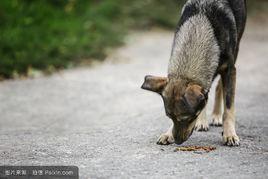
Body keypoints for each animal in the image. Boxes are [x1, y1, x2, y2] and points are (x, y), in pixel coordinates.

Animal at [141, 0, 246, 145]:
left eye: (187, 118)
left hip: (236, 50)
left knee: (219, 87)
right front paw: (168, 133)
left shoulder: (230, 70)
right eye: (169, 116)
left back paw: (216, 115)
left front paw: (229, 134)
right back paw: (202, 121)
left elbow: (229, 108)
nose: (178, 142)